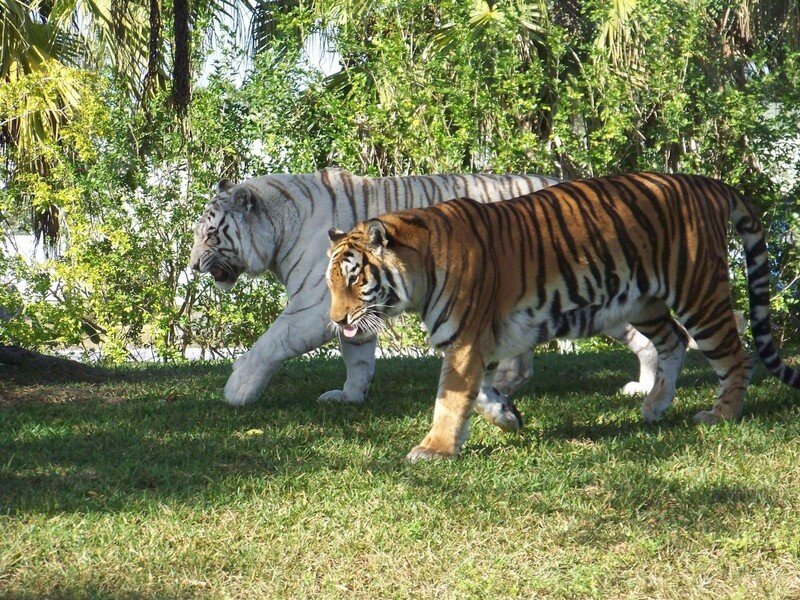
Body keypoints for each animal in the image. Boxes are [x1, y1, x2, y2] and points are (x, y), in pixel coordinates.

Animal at [189, 168, 675, 425]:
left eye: (210, 234)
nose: (193, 266)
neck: (280, 228)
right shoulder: (351, 306)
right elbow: (357, 355)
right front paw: (350, 395)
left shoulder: (312, 308)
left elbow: (269, 342)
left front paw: (237, 389)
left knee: (654, 337)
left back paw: (648, 389)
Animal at [326, 172, 800, 460]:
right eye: (330, 283)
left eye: (353, 278)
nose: (336, 320)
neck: (419, 265)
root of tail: (706, 182)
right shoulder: (482, 343)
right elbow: (480, 395)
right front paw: (508, 417)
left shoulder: (465, 341)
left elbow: (450, 399)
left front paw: (434, 449)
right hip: (644, 301)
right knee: (672, 341)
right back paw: (654, 406)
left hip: (698, 291)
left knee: (735, 355)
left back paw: (721, 415)